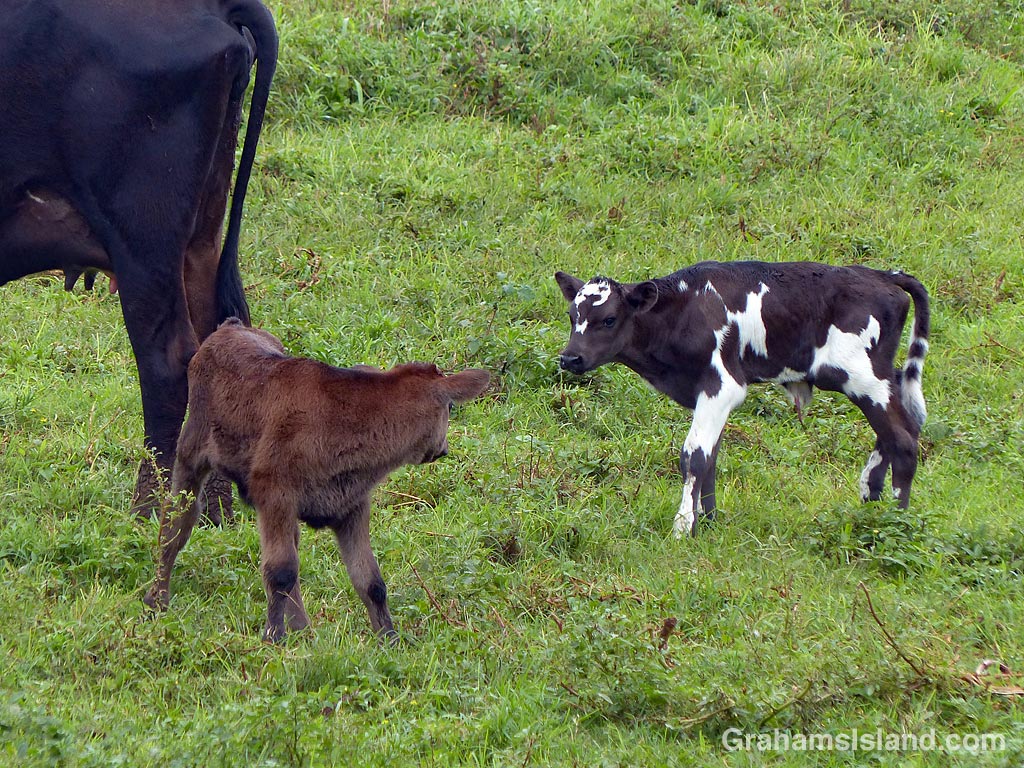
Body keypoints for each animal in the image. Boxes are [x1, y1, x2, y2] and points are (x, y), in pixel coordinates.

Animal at [143, 319, 491, 643]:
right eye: (449, 406)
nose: (442, 450)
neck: (343, 418)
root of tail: (229, 328)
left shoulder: (351, 506)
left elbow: (370, 580)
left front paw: (389, 640)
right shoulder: (275, 494)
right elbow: (280, 570)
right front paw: (273, 637)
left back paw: (302, 627)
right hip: (190, 459)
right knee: (176, 525)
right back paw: (156, 601)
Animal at [555, 261, 930, 538]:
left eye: (609, 319)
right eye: (572, 317)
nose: (570, 358)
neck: (685, 309)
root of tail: (883, 275)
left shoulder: (722, 385)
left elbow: (694, 456)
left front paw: (683, 527)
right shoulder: (709, 395)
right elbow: (711, 456)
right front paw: (707, 521)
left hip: (861, 377)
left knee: (902, 438)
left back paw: (896, 522)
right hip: (880, 377)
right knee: (898, 430)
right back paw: (870, 502)